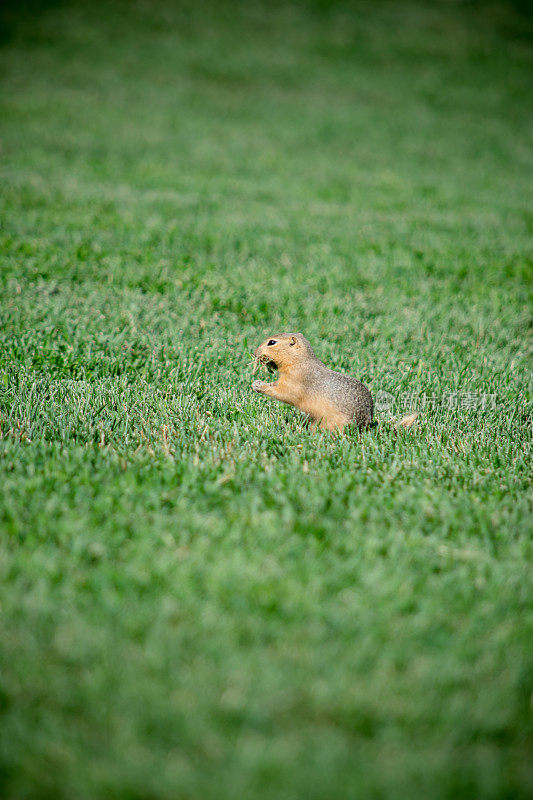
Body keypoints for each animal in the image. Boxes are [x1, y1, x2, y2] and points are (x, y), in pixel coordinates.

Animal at [249, 330, 416, 432]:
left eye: (272, 342)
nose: (255, 352)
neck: (300, 361)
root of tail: (366, 426)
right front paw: (256, 382)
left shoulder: (295, 381)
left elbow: (283, 393)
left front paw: (259, 386)